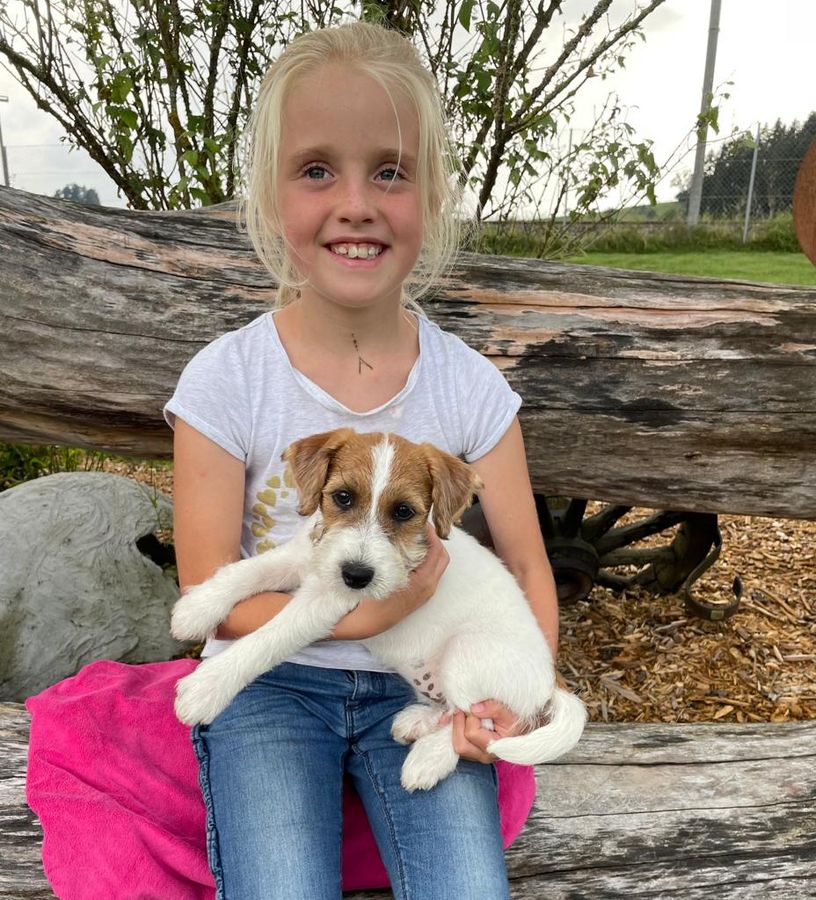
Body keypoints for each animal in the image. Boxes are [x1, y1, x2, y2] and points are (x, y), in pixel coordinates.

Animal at [171, 428, 586, 791]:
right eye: (342, 497)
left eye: (403, 511)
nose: (356, 574)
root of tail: (551, 679)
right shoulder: (300, 557)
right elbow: (246, 570)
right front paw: (197, 606)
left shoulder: (330, 600)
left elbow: (272, 635)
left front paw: (208, 686)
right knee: (453, 712)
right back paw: (418, 722)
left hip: (465, 652)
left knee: (477, 724)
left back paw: (428, 759)